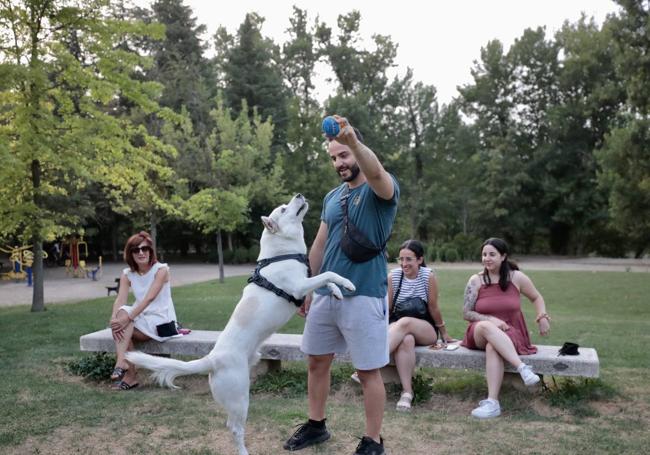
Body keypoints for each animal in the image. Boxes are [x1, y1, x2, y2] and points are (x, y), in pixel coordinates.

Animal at [126, 194, 354, 455]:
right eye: (283, 209)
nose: (298, 195)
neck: (280, 253)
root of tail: (212, 360)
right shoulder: (299, 286)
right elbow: (328, 274)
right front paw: (346, 283)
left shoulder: (306, 285)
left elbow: (323, 283)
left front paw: (337, 291)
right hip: (239, 398)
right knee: (234, 428)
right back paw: (243, 450)